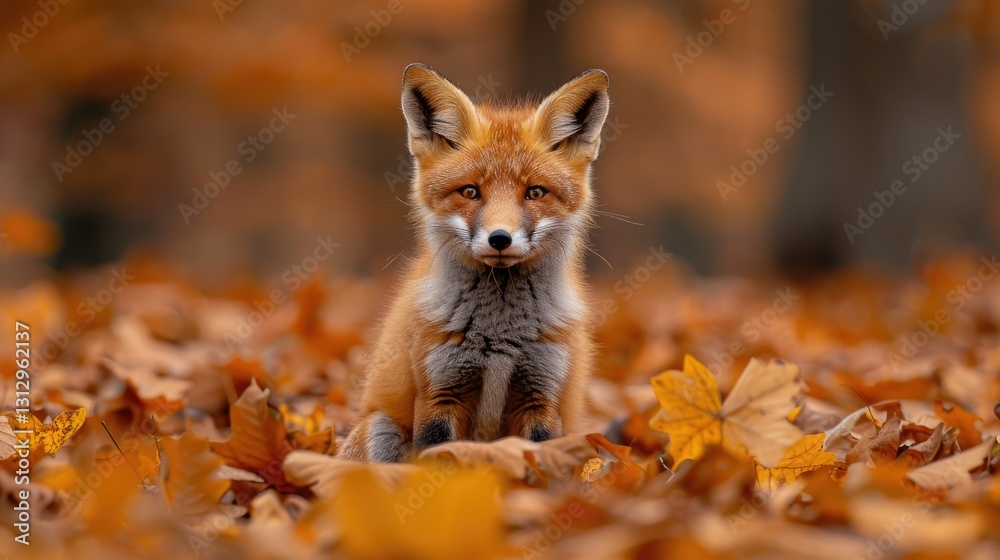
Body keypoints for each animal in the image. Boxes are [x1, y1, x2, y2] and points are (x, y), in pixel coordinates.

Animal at [338, 63, 611, 462]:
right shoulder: (440, 392)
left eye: (535, 192)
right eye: (470, 191)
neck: (500, 332)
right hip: (380, 428)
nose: (500, 239)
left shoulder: (541, 394)